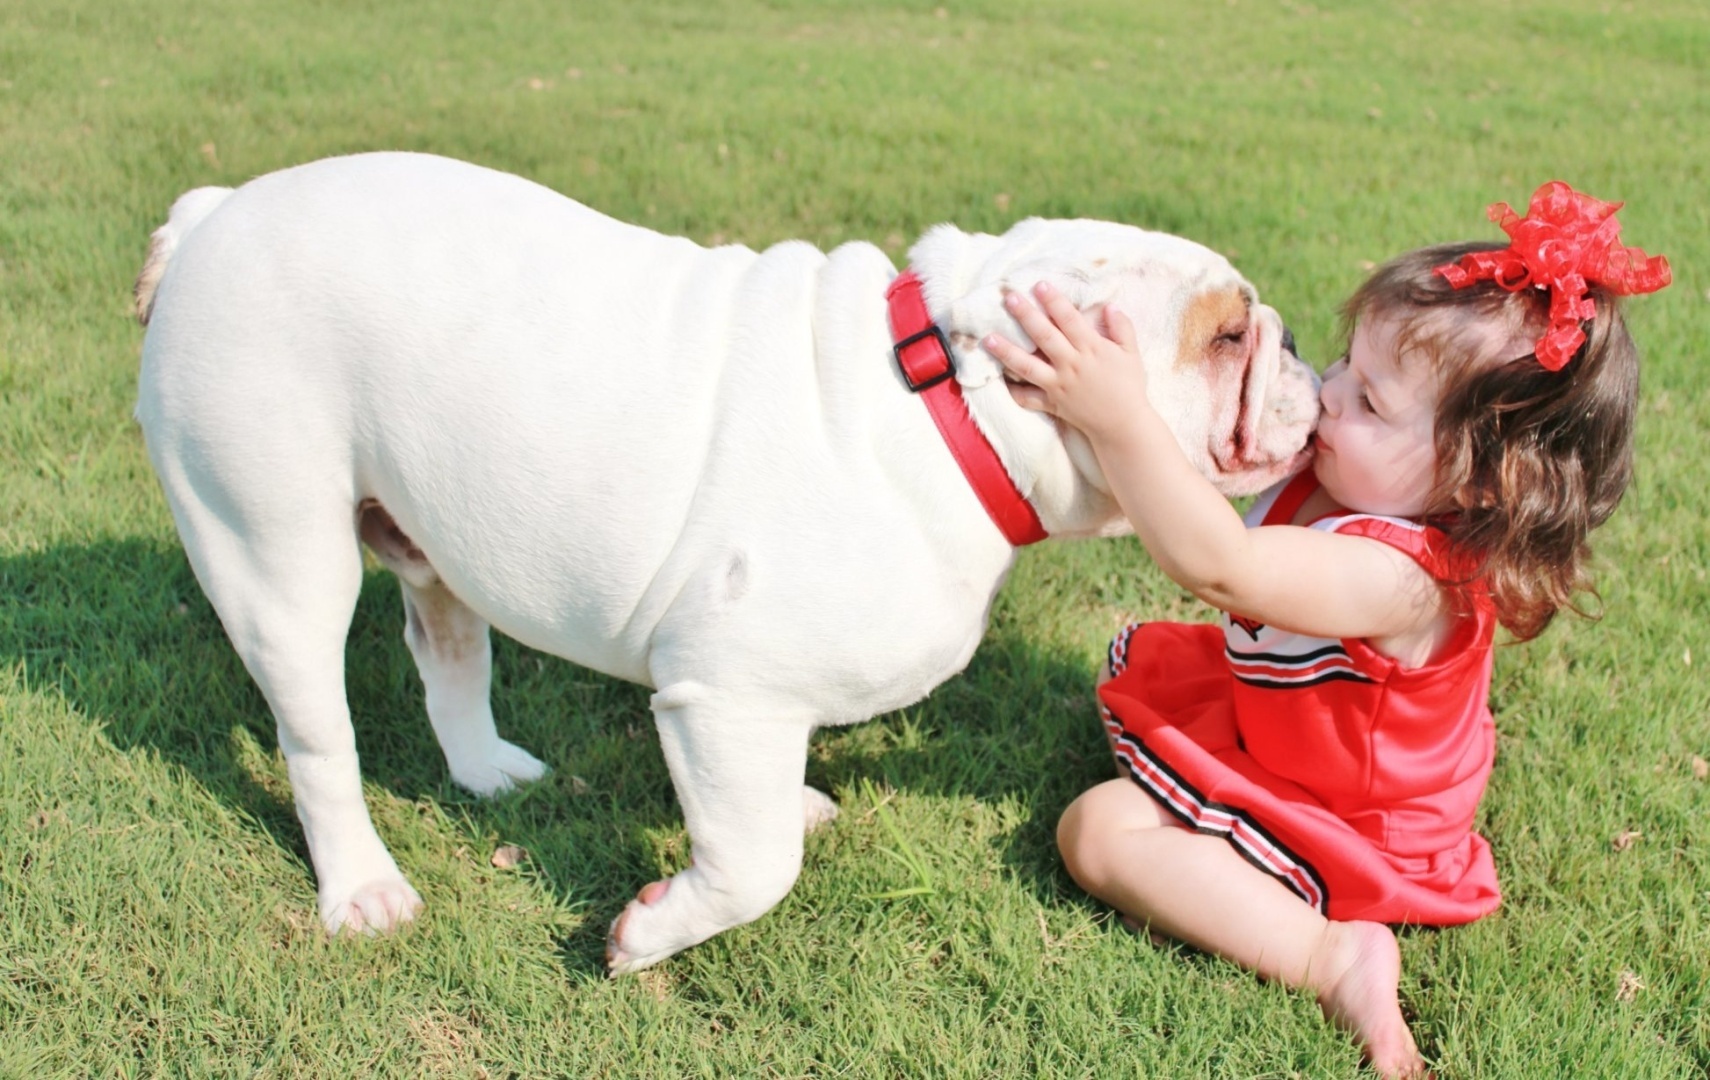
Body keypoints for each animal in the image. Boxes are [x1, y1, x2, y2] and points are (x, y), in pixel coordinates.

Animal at [133, 152, 1318, 973]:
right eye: (1224, 338)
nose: (1297, 340)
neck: (947, 405)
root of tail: (212, 217)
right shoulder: (725, 692)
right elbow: (753, 868)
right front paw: (650, 934)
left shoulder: (752, 708)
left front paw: (787, 803)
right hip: (276, 552)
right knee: (318, 737)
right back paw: (364, 891)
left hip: (427, 536)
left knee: (448, 651)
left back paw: (490, 772)